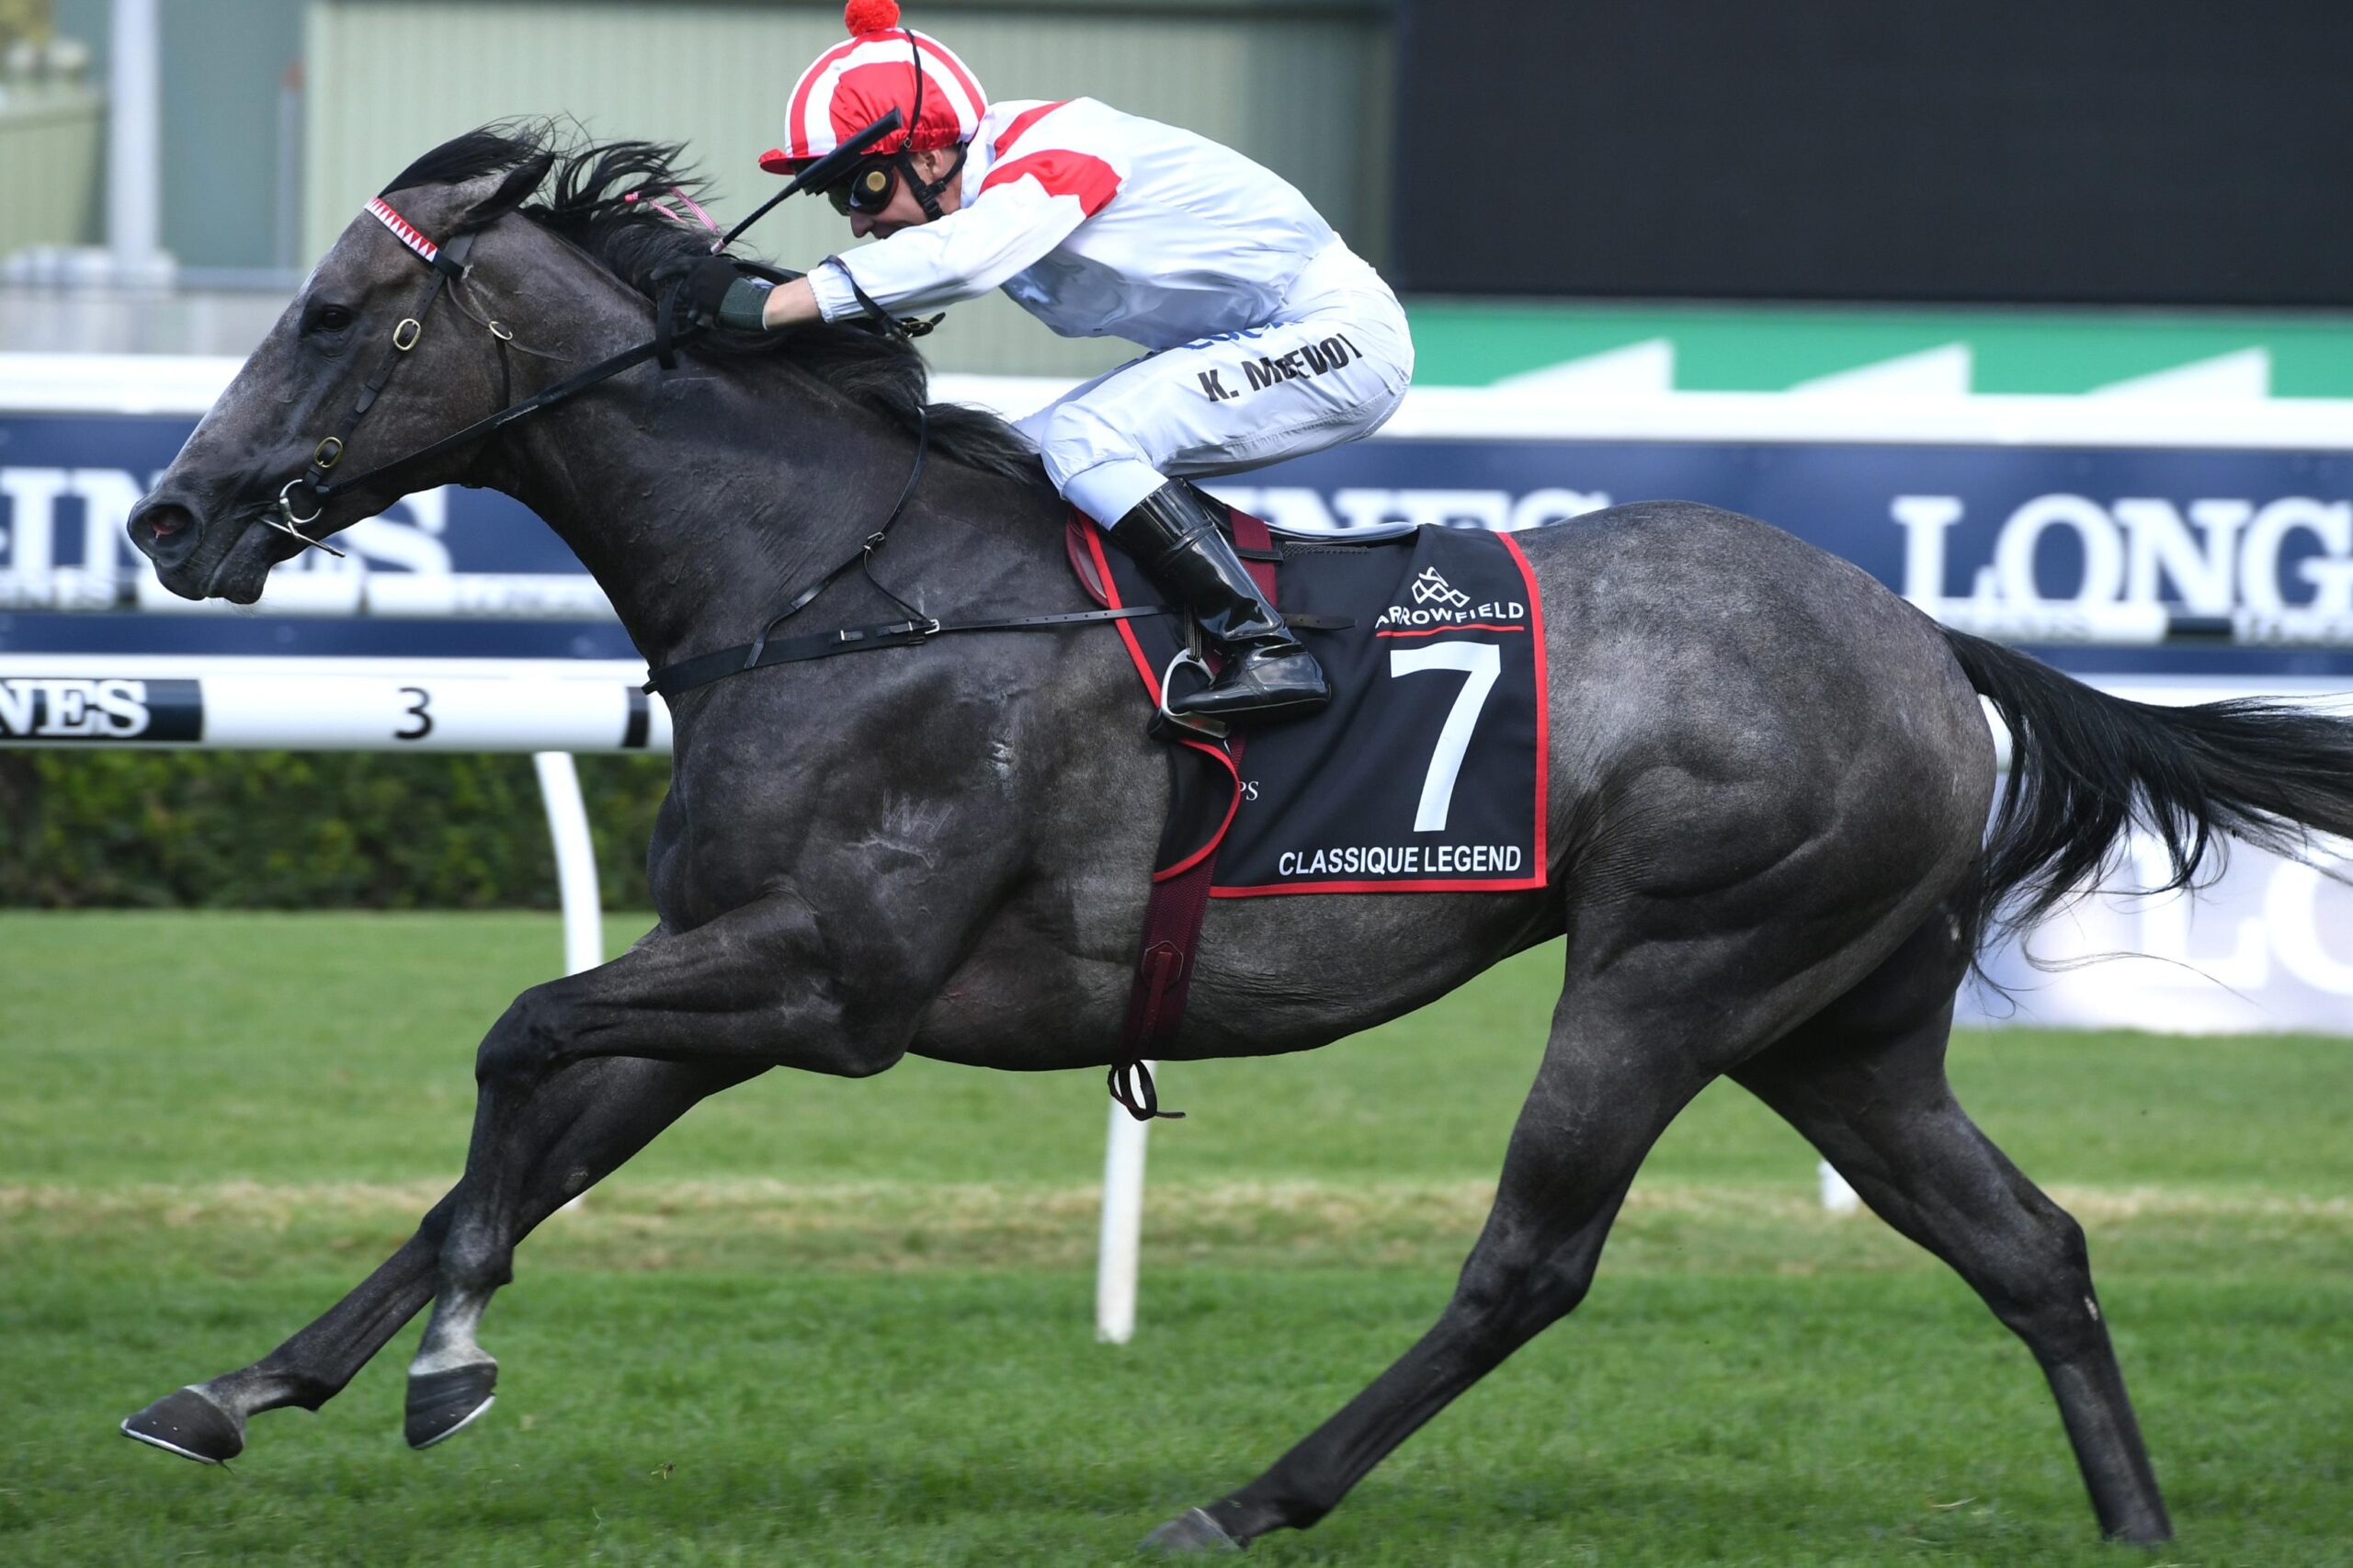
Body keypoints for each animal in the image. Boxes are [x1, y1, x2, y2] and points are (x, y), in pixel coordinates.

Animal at [119, 128, 2353, 1544]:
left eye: (337, 314)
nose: (167, 514)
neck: (832, 574)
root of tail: (1915, 633)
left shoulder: (834, 978)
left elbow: (511, 1038)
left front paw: (444, 1369)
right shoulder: (737, 971)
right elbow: (506, 1148)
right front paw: (238, 1386)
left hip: (1677, 967)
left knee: (1529, 1261)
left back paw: (1247, 1495)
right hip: (1838, 1019)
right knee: (2028, 1248)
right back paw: (2137, 1528)